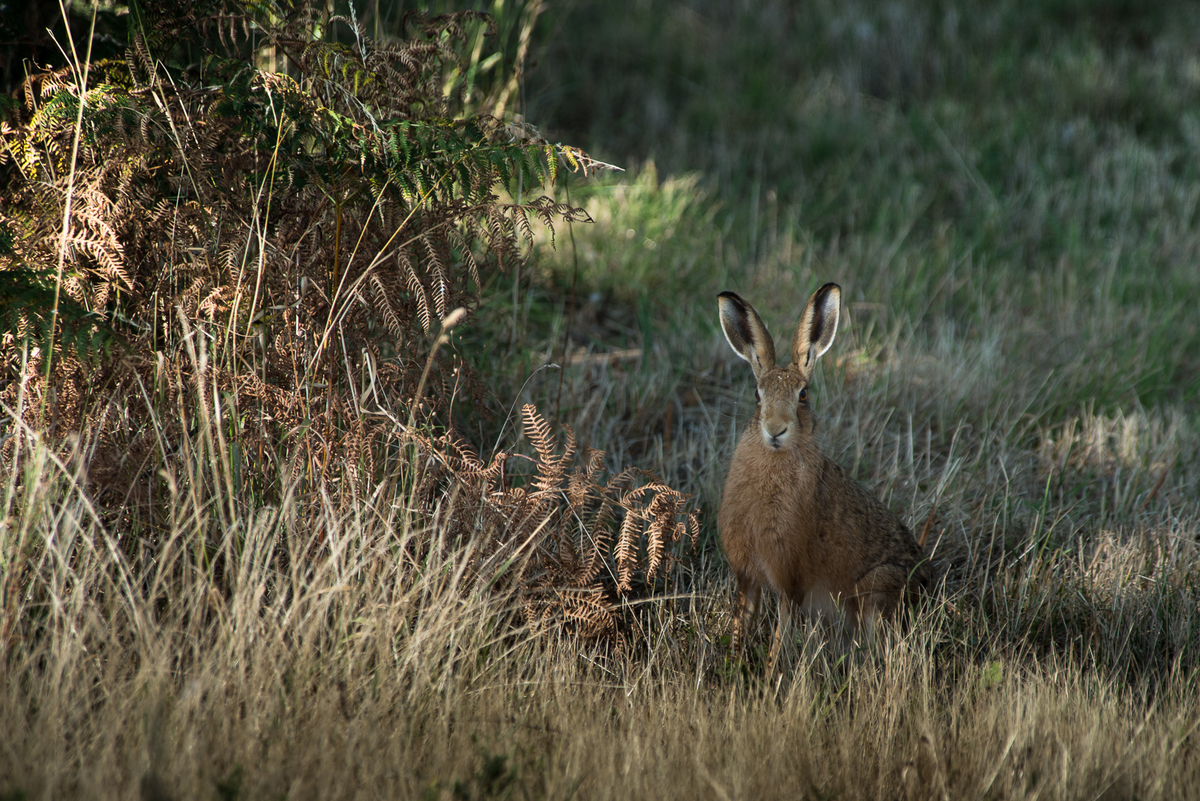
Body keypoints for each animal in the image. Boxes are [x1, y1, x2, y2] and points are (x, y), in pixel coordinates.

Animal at [717, 283, 929, 663]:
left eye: (803, 395)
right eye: (757, 395)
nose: (775, 430)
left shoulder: (790, 579)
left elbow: (781, 633)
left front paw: (771, 672)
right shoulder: (747, 577)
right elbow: (743, 621)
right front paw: (734, 663)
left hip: (877, 588)